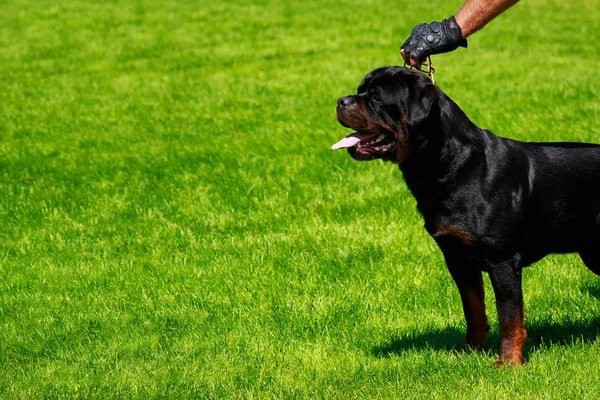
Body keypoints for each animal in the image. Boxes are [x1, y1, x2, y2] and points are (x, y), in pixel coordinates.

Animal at [332, 66, 600, 366]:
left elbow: (509, 315)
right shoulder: (458, 258)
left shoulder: (502, 259)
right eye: (360, 91)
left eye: (376, 97)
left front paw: (509, 361)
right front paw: (470, 350)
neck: (452, 166)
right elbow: (473, 309)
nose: (341, 101)